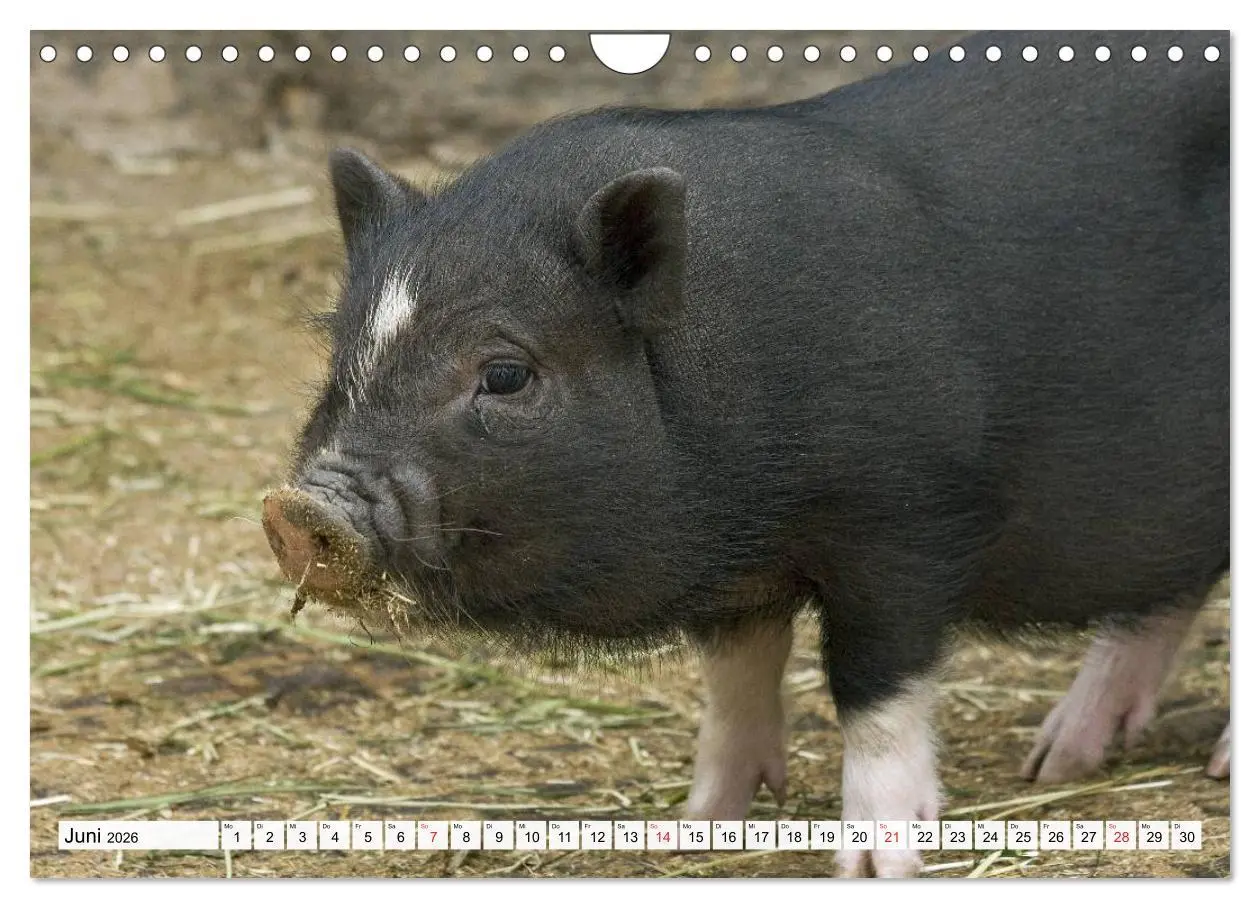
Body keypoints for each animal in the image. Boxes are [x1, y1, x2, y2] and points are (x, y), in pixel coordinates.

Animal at [262, 29, 1229, 877]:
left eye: (504, 373)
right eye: (342, 348)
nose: (298, 509)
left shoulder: (908, 518)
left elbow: (873, 687)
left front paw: (875, 866)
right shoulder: (735, 571)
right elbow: (732, 682)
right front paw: (690, 834)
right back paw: (1058, 761)